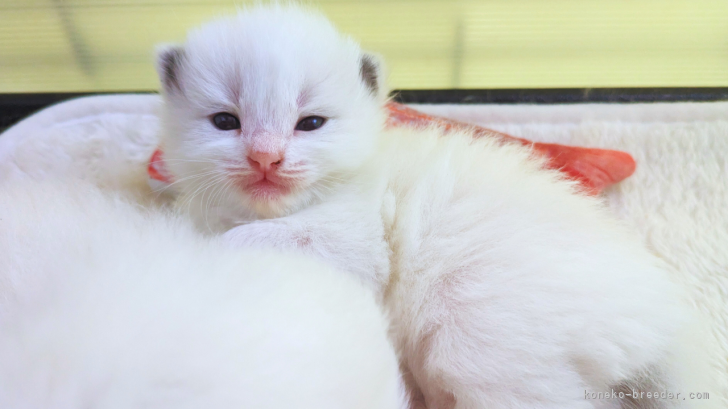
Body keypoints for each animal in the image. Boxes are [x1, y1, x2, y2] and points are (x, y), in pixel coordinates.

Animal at [158, 5, 712, 408]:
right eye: (225, 121)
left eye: (310, 123)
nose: (265, 158)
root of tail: (669, 324)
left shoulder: (359, 241)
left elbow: (266, 241)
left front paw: (221, 249)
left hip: (484, 339)